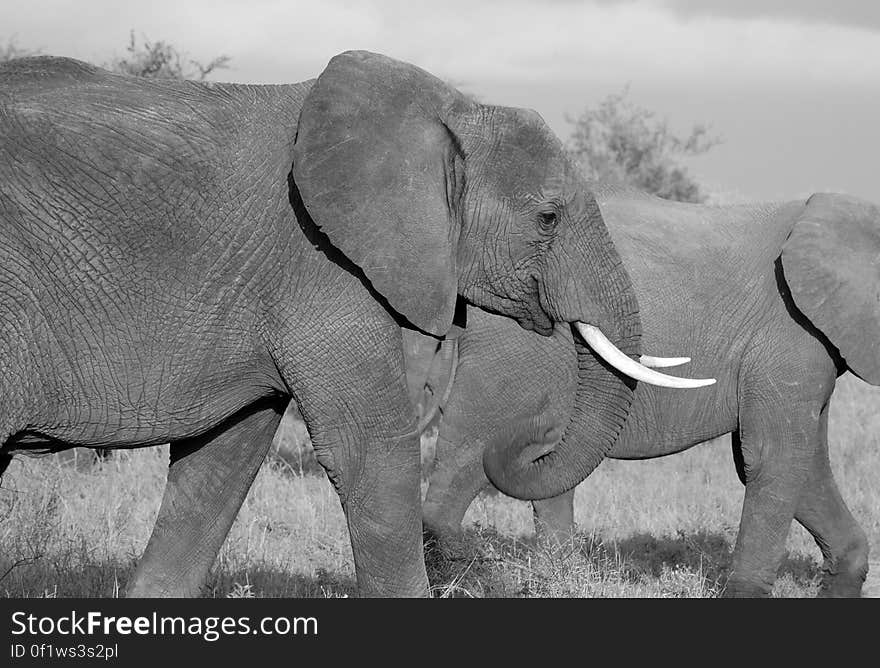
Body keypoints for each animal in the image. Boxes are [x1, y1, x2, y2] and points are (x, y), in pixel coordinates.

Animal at [0, 51, 708, 596]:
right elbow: (372, 453)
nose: (530, 435)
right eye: (549, 218)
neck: (448, 112)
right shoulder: (320, 263)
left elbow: (222, 458)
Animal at [422, 184, 880, 600]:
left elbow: (801, 463)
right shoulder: (787, 336)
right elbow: (774, 458)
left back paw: (559, 580)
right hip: (513, 349)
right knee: (466, 454)